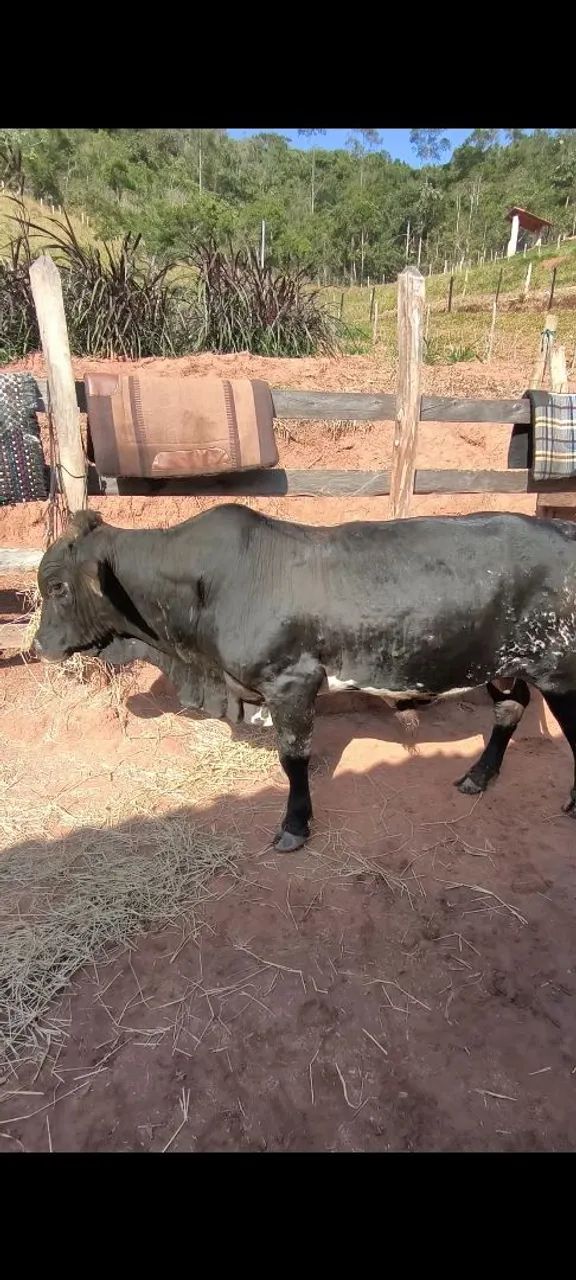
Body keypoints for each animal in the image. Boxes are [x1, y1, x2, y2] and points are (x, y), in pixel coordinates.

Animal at [34, 505, 576, 851]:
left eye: (58, 586)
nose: (38, 646)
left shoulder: (291, 684)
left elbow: (293, 760)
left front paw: (294, 826)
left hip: (561, 673)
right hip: (508, 666)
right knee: (509, 709)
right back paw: (478, 776)